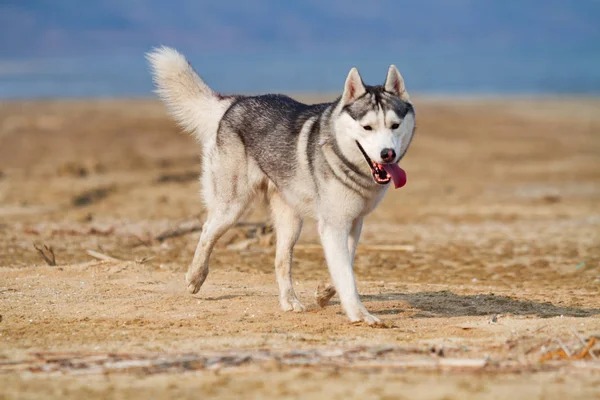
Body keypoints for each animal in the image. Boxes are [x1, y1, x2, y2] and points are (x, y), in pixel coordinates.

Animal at [148, 47, 414, 324]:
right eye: (367, 127)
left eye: (395, 125)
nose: (388, 154)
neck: (343, 158)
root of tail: (235, 103)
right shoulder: (334, 225)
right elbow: (346, 275)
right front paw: (359, 314)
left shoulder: (354, 222)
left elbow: (346, 264)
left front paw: (325, 293)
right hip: (232, 207)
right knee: (207, 230)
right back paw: (195, 277)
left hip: (291, 221)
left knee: (280, 260)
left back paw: (289, 301)